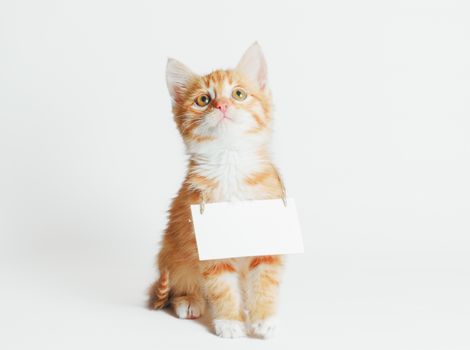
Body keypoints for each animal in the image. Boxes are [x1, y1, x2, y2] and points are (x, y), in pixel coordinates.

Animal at [149, 42, 284, 338]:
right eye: (203, 100)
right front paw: (230, 322)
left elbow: (264, 279)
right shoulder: (206, 240)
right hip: (175, 251)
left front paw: (264, 317)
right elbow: (221, 286)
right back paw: (189, 299)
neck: (230, 162)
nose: (222, 104)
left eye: (239, 94)